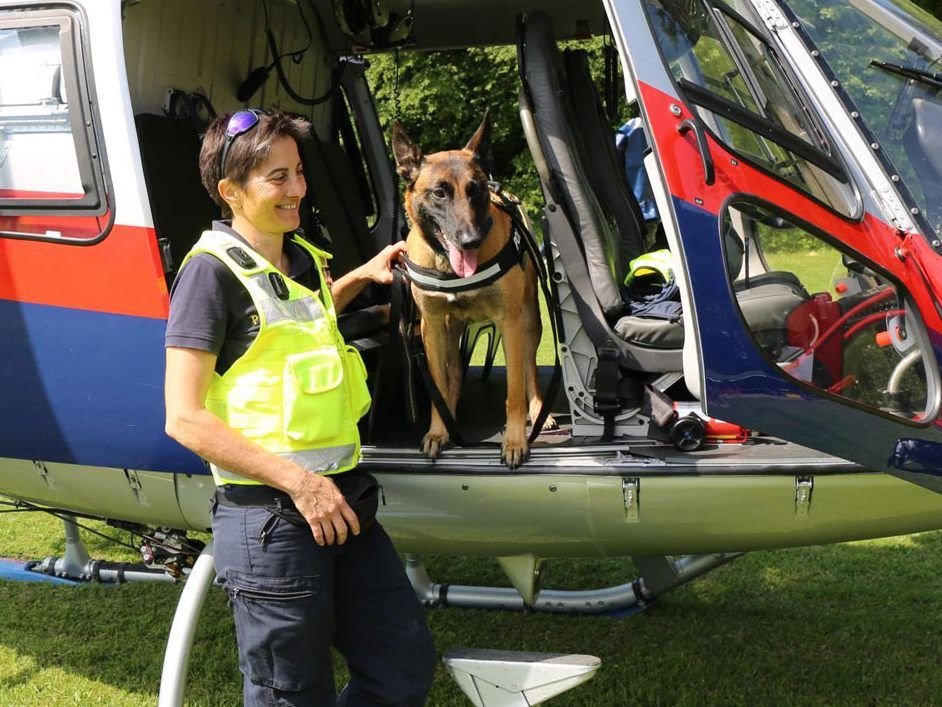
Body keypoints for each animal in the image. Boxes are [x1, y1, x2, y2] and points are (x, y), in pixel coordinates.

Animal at [394, 115, 548, 470]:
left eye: (475, 189)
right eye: (439, 193)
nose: (470, 241)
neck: (450, 269)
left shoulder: (510, 323)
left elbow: (514, 391)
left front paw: (515, 440)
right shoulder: (432, 326)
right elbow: (439, 386)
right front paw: (439, 431)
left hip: (530, 321)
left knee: (530, 369)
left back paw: (539, 411)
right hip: (451, 331)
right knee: (452, 375)